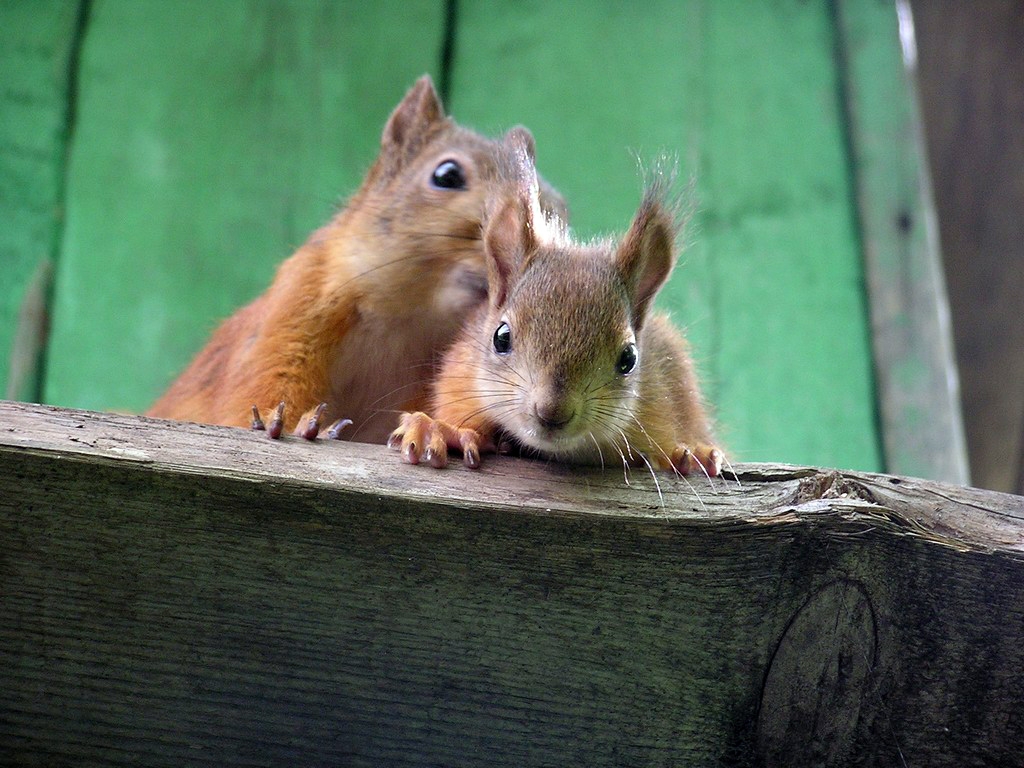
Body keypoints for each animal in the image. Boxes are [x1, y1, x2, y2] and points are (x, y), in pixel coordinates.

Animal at [147, 76, 565, 444]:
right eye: (447, 175)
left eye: (559, 208)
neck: (409, 319)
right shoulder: (294, 308)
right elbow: (265, 387)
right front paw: (283, 423)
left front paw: (435, 430)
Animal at [387, 137, 724, 475]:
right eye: (501, 337)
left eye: (628, 358)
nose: (552, 412)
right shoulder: (459, 376)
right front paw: (438, 430)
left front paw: (687, 454)